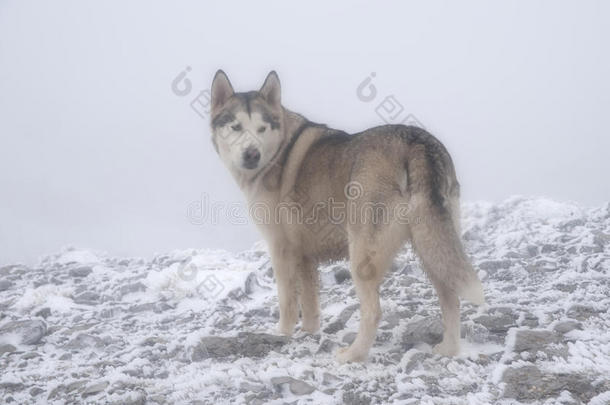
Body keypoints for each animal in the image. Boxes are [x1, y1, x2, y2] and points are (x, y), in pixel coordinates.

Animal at [209, 70, 484, 362]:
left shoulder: (281, 248)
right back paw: (449, 349)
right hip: (433, 245)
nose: (252, 154)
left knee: (373, 311)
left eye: (262, 128)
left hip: (363, 256)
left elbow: (287, 300)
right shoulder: (305, 255)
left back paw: (352, 354)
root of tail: (415, 139)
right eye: (235, 127)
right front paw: (309, 331)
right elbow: (310, 302)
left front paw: (282, 333)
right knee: (451, 299)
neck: (279, 151)